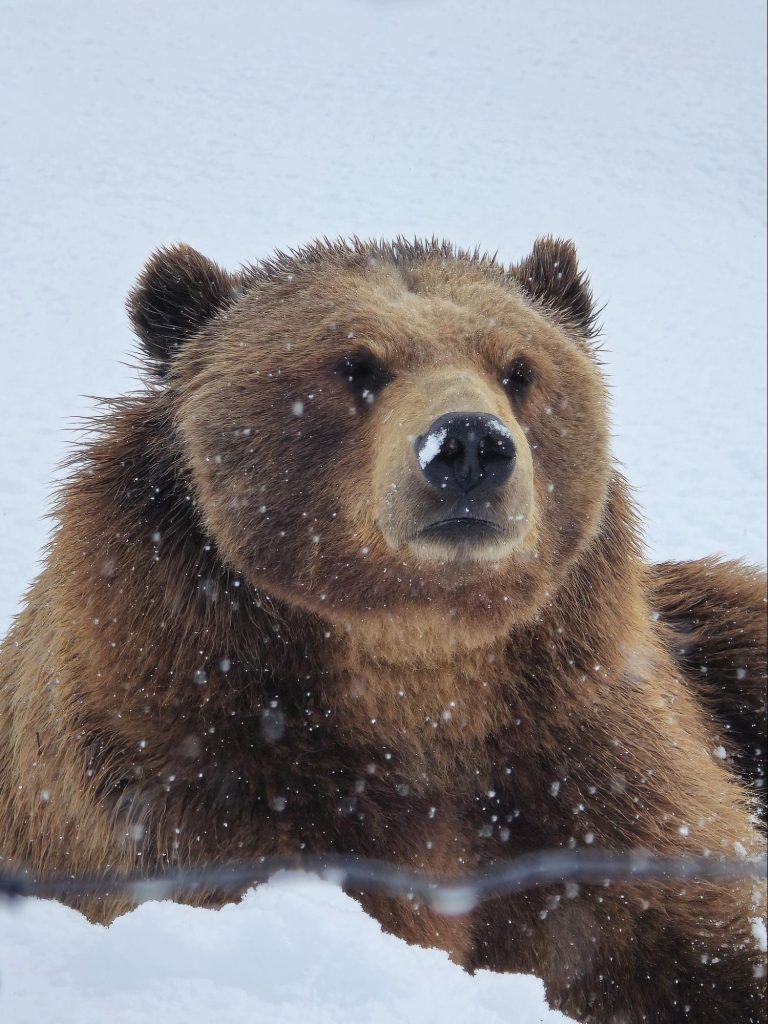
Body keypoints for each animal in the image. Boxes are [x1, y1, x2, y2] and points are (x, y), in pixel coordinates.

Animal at [0, 237, 765, 1024]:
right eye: (356, 364)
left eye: (518, 367)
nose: (469, 444)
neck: (418, 666)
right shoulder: (190, 776)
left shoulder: (591, 760)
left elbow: (680, 929)